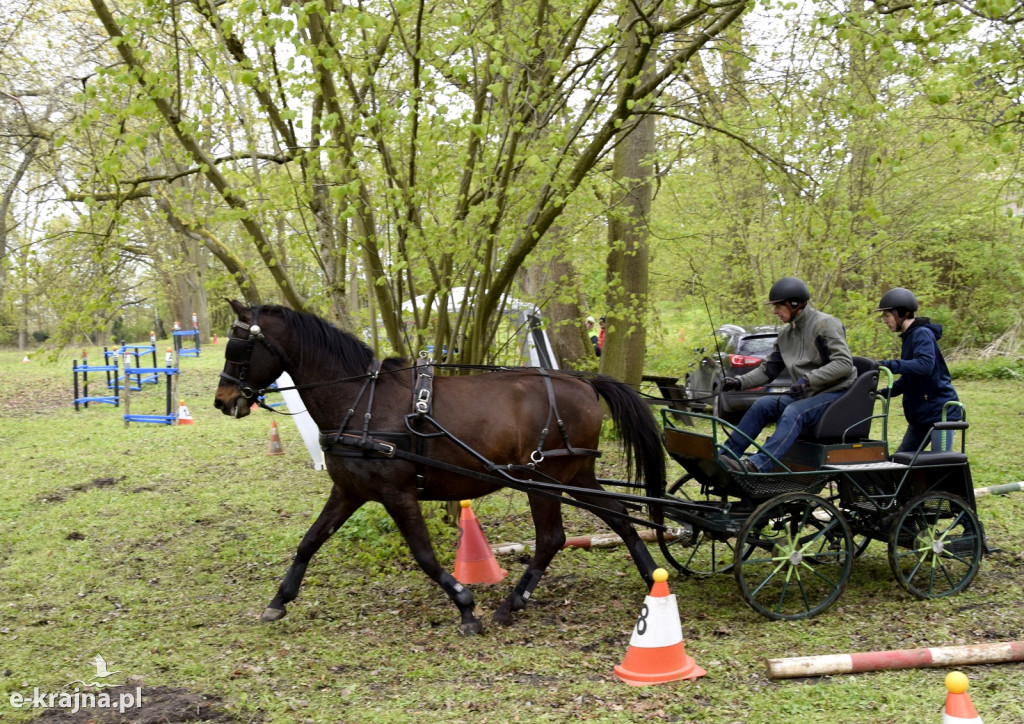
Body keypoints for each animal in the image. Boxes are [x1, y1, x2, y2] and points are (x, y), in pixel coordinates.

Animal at [212, 301, 667, 634]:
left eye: (238, 347)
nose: (222, 400)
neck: (360, 402)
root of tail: (584, 382)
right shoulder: (349, 491)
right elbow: (309, 541)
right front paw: (279, 600)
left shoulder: (397, 494)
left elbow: (425, 556)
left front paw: (466, 606)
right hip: (577, 476)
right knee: (620, 518)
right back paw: (651, 575)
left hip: (544, 481)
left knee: (552, 538)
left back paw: (511, 604)